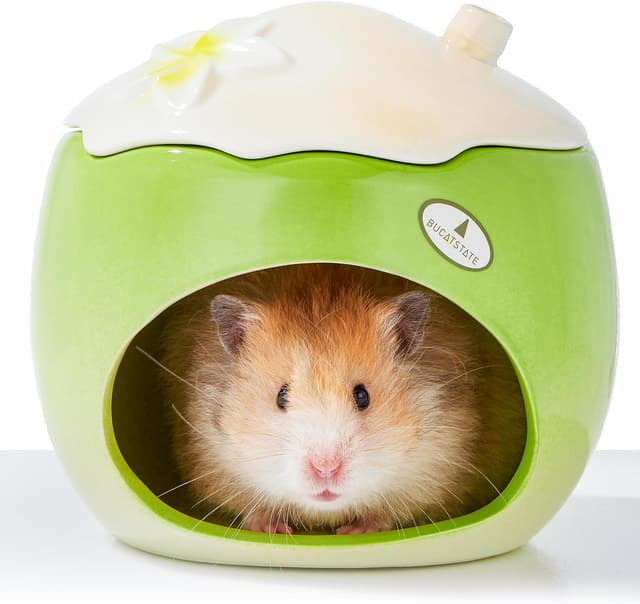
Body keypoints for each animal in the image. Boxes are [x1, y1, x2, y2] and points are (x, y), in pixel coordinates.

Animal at [158, 264, 526, 535]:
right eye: (281, 396)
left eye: (362, 396)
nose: (325, 469)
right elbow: (253, 507)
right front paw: (273, 528)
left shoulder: (442, 464)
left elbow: (389, 511)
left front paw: (353, 531)